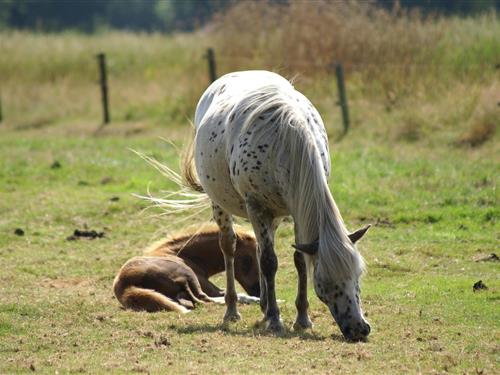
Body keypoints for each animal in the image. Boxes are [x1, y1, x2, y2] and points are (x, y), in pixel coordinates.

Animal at [114, 226, 262, 314]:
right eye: (249, 259)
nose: (259, 291)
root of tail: (125, 285)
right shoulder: (209, 287)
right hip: (188, 274)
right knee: (203, 299)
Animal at [166, 70, 370, 340]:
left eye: (357, 275)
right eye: (325, 283)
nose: (359, 328)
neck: (285, 144)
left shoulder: (296, 211)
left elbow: (298, 259)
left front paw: (302, 318)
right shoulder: (256, 207)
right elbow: (269, 262)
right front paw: (275, 319)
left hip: (273, 215)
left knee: (260, 248)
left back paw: (263, 306)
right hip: (222, 205)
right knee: (230, 247)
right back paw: (232, 310)